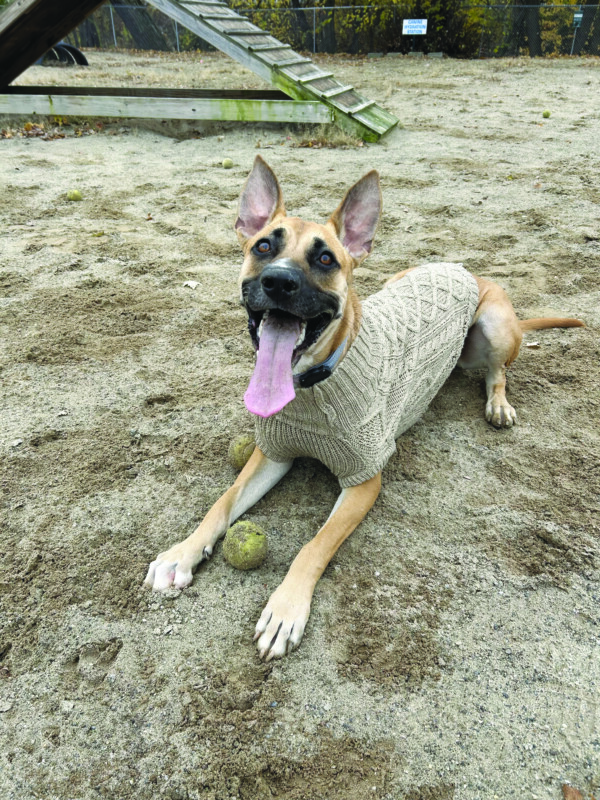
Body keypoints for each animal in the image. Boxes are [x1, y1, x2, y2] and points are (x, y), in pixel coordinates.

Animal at [144, 156, 580, 664]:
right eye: (263, 246)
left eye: (325, 259)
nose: (278, 282)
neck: (313, 386)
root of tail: (465, 269)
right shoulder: (271, 454)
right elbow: (222, 503)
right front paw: (182, 552)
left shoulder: (364, 480)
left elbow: (314, 545)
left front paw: (285, 608)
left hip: (494, 326)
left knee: (498, 372)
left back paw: (499, 404)